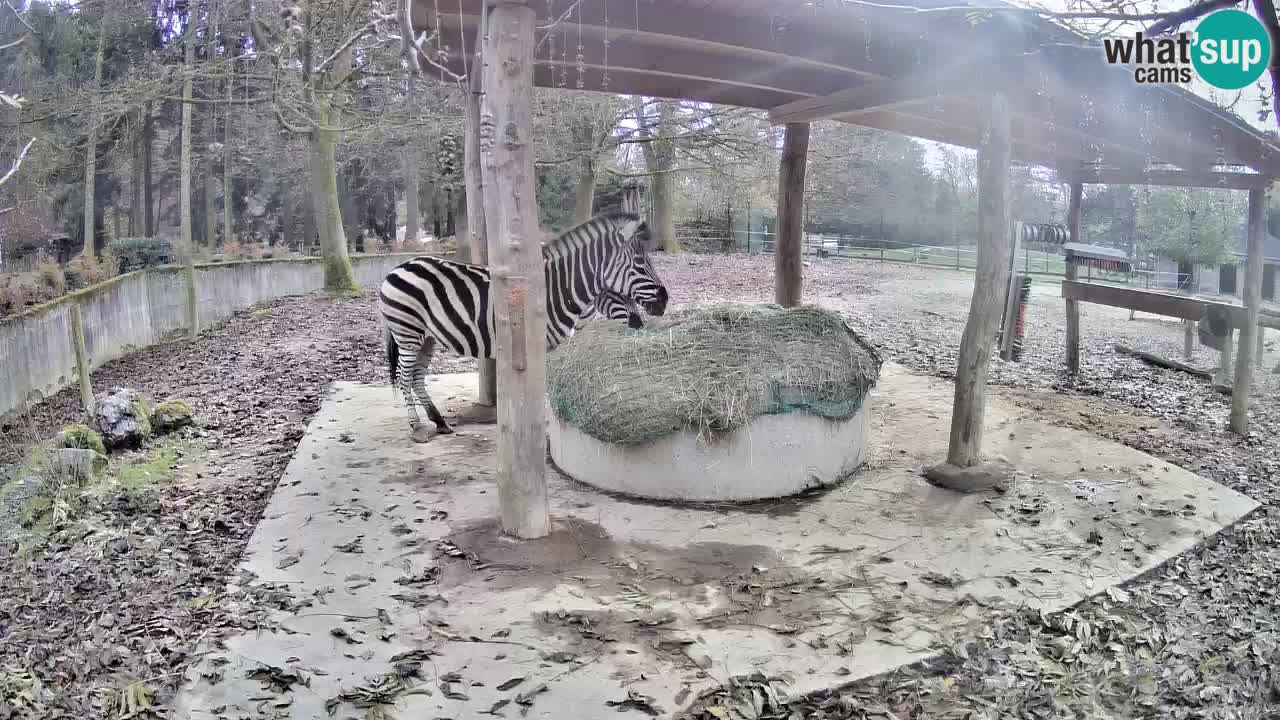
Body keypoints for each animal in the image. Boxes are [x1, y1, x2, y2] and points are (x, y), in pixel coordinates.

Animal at [376, 210, 670, 440]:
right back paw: (416, 428)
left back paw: (439, 422)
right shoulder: (541, 344)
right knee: (403, 376)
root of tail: (397, 268)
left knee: (416, 376)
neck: (556, 290)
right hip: (407, 332)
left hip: (427, 337)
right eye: (640, 263)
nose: (664, 301)